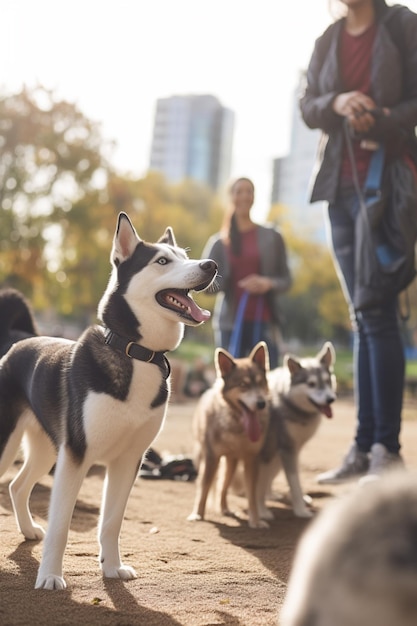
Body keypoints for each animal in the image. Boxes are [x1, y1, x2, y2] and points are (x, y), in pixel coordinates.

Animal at [0, 212, 216, 588]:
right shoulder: (76, 456)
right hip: (11, 442)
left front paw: (112, 568)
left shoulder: (128, 459)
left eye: (184, 255)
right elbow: (61, 526)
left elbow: (112, 522)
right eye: (163, 261)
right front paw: (50, 576)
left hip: (47, 448)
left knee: (16, 486)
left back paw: (27, 530)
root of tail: (19, 339)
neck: (135, 353)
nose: (212, 265)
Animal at [255, 342, 336, 516]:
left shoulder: (293, 449)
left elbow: (294, 479)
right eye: (311, 384)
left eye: (327, 381)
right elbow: (294, 482)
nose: (330, 399)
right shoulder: (287, 449)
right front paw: (301, 510)